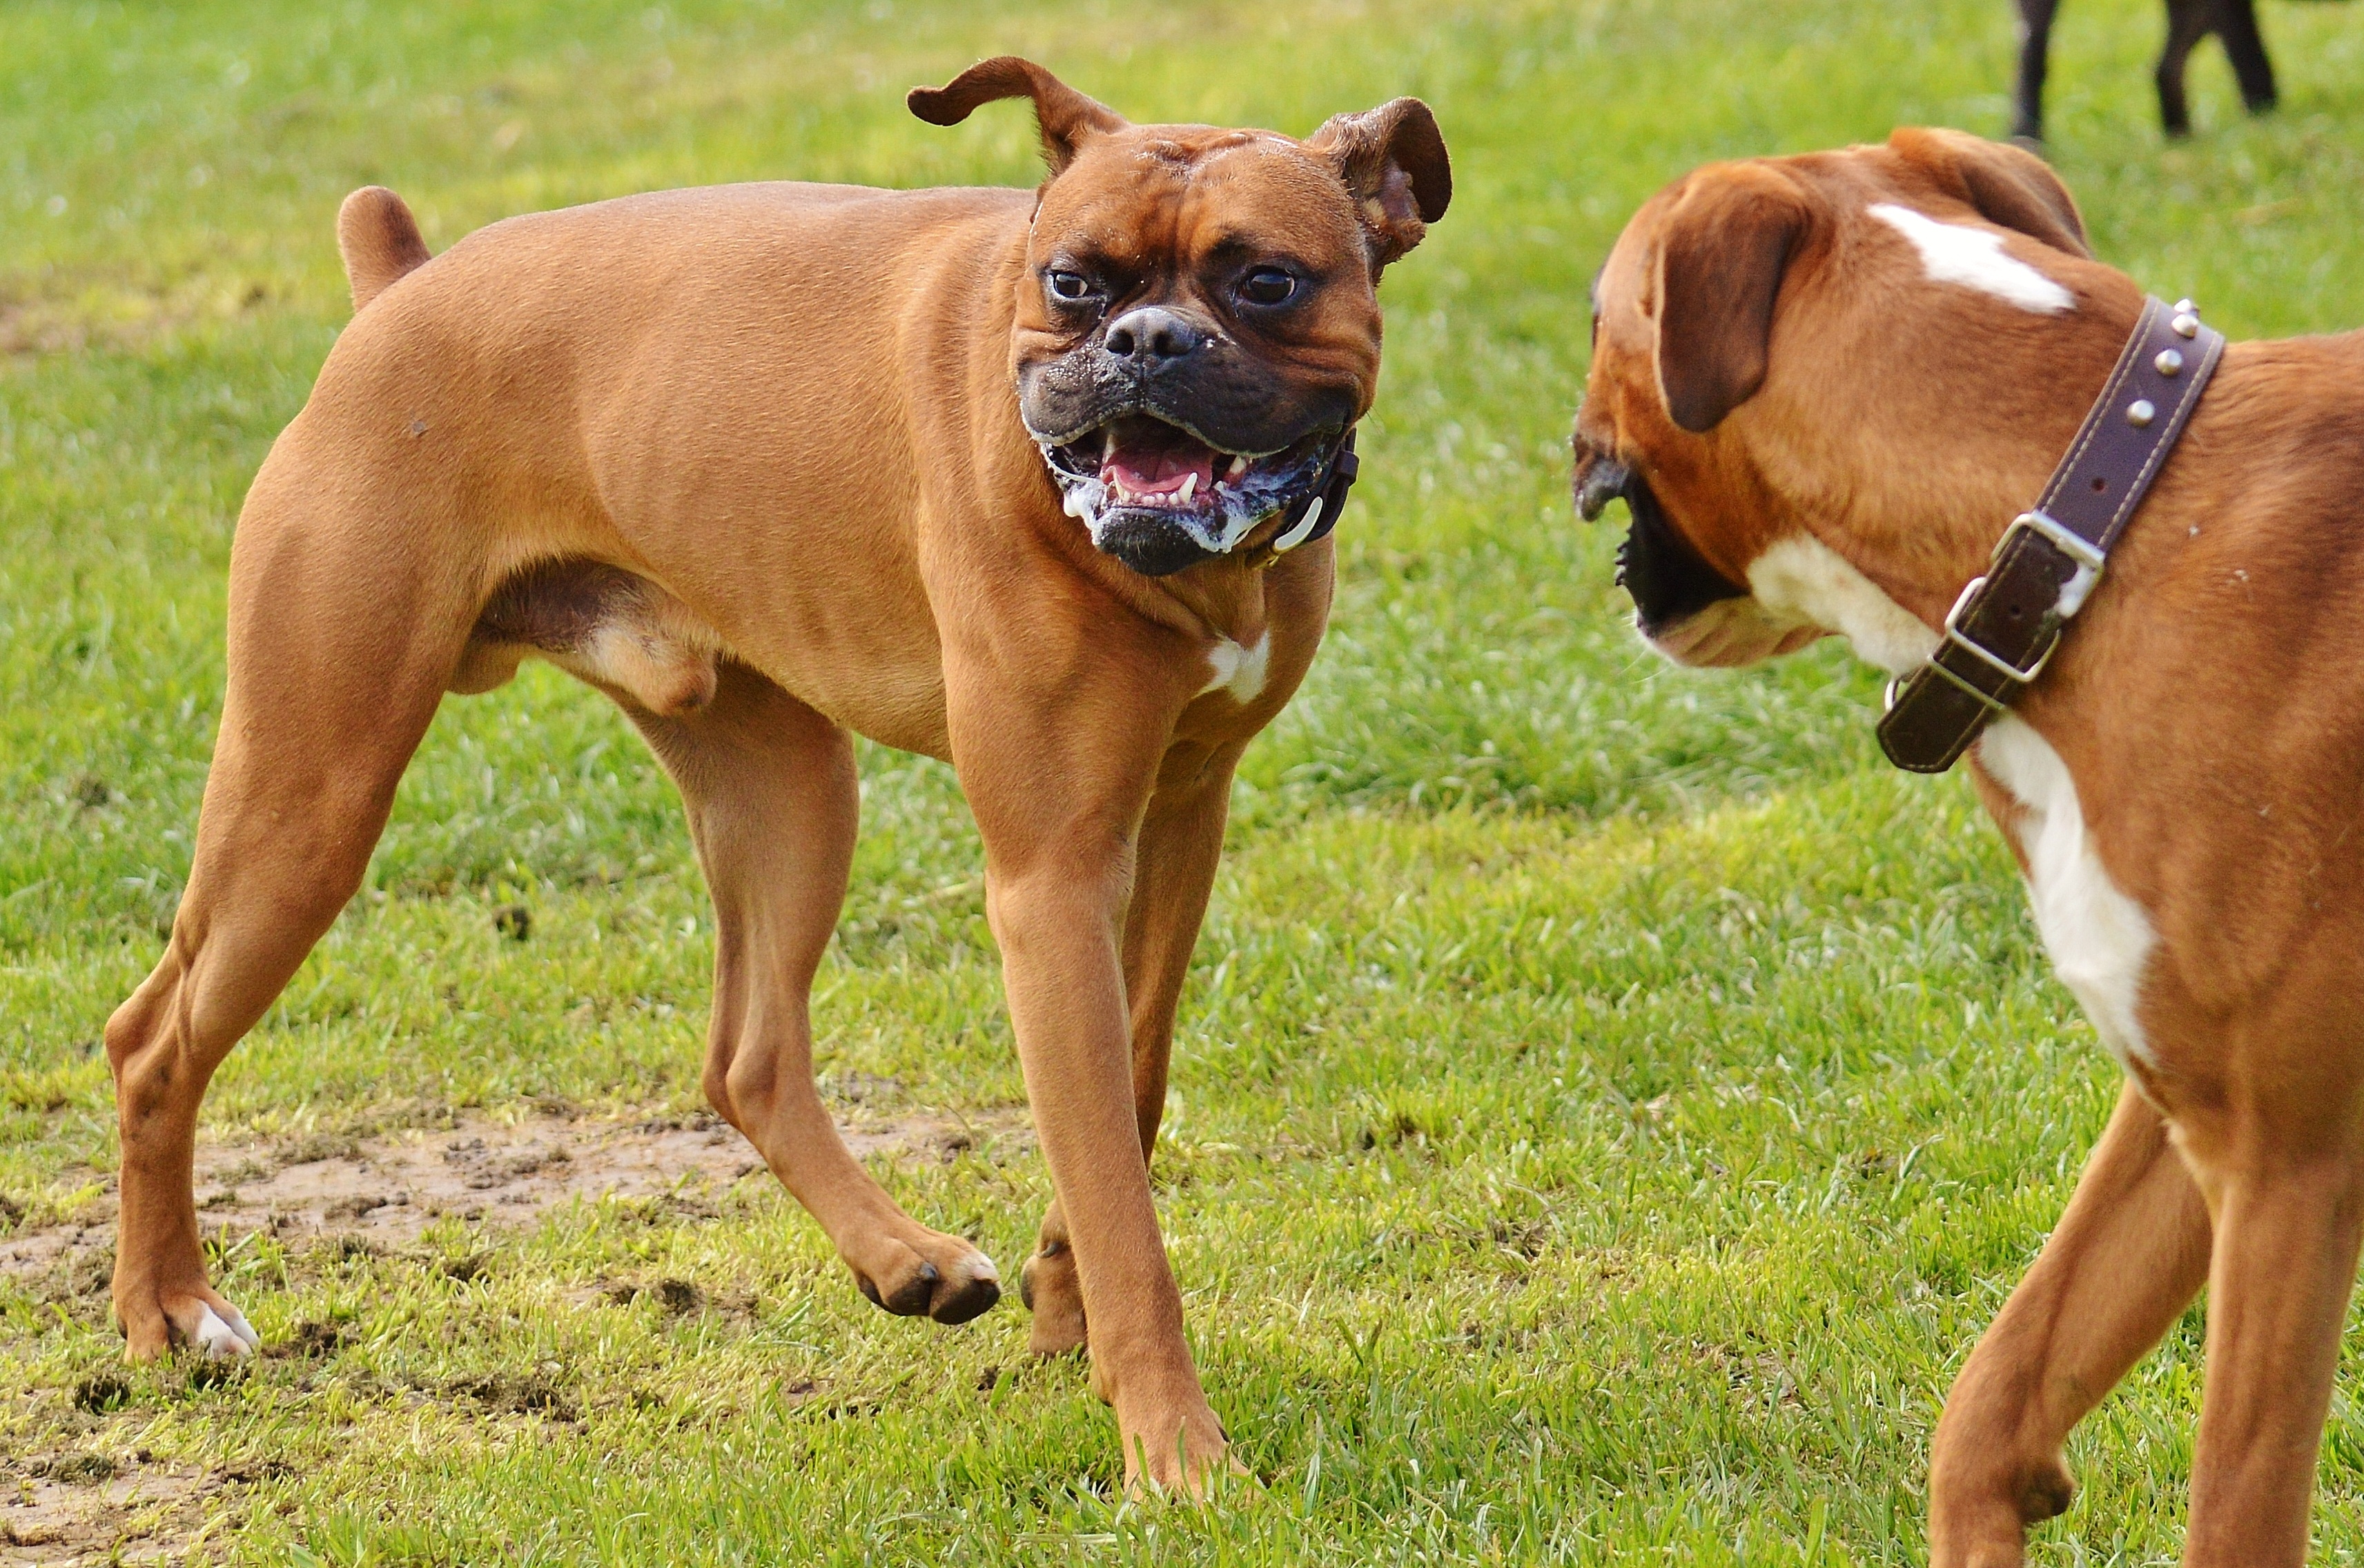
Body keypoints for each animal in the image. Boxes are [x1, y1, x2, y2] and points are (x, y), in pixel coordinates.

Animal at [97, 55, 1437, 1494]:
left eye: (1267, 282)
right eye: (1075, 280)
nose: (1145, 343)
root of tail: (400, 289)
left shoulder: (1179, 820)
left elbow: (1129, 1095)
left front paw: (1062, 1301)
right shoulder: (1052, 878)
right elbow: (1123, 1197)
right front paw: (1174, 1451)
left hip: (788, 792)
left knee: (746, 1056)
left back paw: (905, 1262)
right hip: (312, 796)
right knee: (150, 1040)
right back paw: (169, 1311)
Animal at [1570, 126, 2364, 1568]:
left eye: (1598, 311)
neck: (2099, 534)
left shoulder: (2290, 1167)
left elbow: (2234, 1502)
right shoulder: (2185, 1112)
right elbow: (1995, 1393)